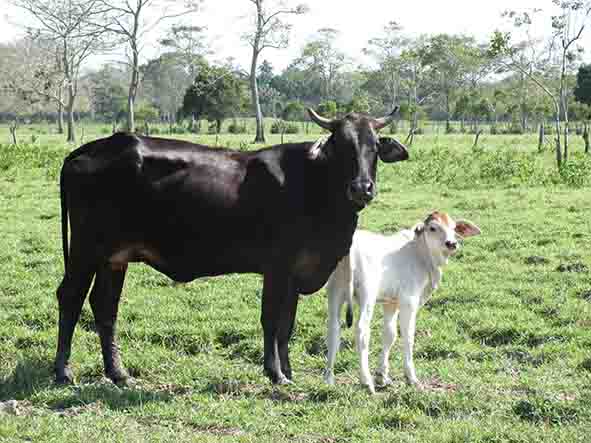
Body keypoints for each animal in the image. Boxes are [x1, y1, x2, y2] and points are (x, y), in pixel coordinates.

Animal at [54, 107, 408, 386]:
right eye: (341, 147)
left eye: (374, 147)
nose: (362, 188)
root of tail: (89, 149)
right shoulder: (277, 268)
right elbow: (270, 319)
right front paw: (275, 373)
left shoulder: (296, 273)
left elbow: (287, 325)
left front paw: (288, 371)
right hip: (86, 249)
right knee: (70, 296)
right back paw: (63, 371)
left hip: (114, 257)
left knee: (104, 306)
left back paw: (118, 373)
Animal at [324, 213, 480, 394]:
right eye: (433, 228)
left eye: (454, 228)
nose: (452, 243)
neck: (420, 253)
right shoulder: (409, 301)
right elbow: (408, 336)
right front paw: (411, 378)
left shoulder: (391, 302)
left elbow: (390, 334)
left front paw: (382, 376)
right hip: (367, 294)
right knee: (362, 330)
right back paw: (366, 381)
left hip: (335, 291)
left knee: (333, 330)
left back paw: (328, 379)